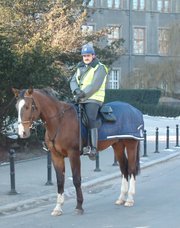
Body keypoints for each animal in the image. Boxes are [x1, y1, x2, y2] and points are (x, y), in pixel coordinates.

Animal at [11, 87, 144, 216]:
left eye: (28, 106)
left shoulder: (73, 154)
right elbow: (60, 181)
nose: (22, 132)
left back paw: (130, 199)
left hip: (131, 145)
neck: (59, 121)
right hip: (118, 146)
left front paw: (79, 206)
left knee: (131, 169)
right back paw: (121, 198)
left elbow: (76, 179)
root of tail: (135, 110)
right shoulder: (56, 156)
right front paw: (58, 207)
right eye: (16, 107)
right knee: (124, 169)